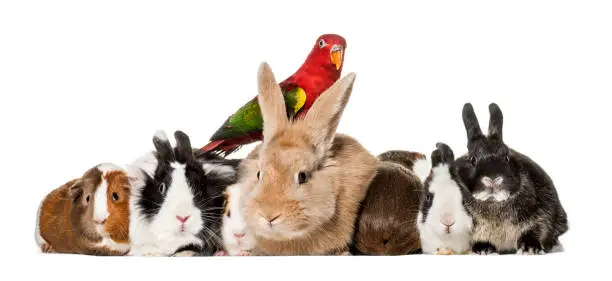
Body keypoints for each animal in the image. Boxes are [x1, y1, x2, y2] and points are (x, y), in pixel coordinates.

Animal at [454, 102, 568, 254]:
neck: (493, 203)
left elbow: (536, 230)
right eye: (472, 159)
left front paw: (530, 248)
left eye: (506, 157)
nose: (493, 179)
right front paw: (483, 248)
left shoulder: (543, 215)